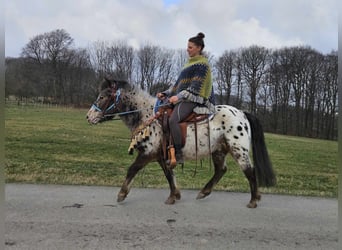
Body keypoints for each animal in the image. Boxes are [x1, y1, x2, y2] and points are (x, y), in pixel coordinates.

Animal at [87, 77, 276, 207]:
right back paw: (204, 192)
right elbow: (169, 175)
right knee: (221, 170)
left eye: (103, 96)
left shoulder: (148, 153)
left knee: (249, 171)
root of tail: (242, 113)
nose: (89, 117)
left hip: (239, 150)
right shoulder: (161, 156)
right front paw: (174, 195)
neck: (147, 116)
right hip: (219, 150)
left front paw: (122, 194)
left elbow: (132, 169)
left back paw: (253, 200)